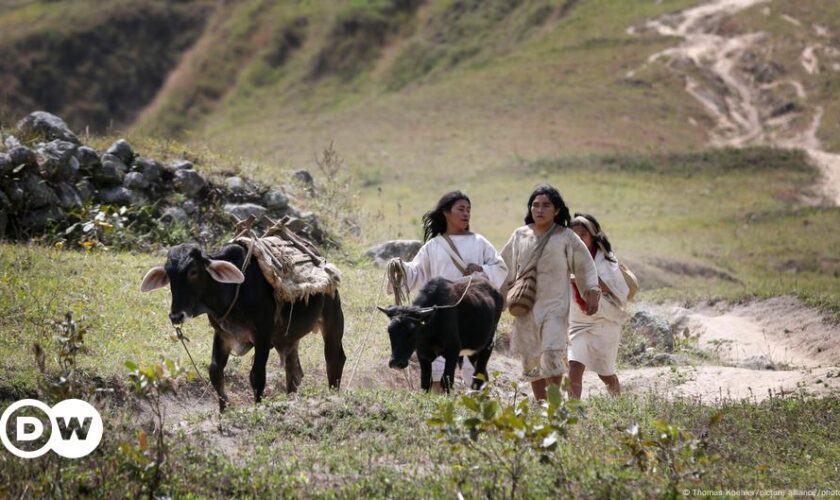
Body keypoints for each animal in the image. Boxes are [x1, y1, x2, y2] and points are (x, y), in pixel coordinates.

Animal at [143, 242, 346, 410]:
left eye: (193, 271)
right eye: (169, 274)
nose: (176, 315)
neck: (234, 290)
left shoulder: (262, 336)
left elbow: (256, 376)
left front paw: (257, 407)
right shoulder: (223, 335)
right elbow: (215, 372)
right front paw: (224, 411)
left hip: (333, 320)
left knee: (334, 358)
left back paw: (332, 396)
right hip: (290, 339)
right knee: (294, 372)